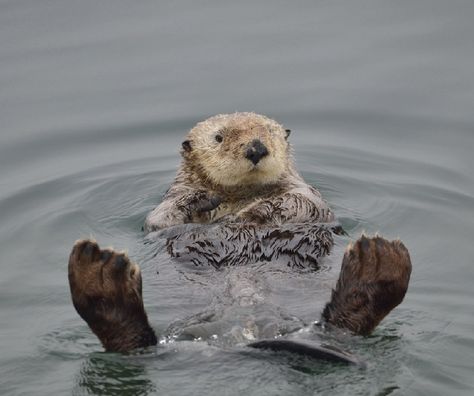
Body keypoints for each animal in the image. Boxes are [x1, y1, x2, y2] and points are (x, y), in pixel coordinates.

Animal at [67, 113, 412, 360]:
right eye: (219, 137)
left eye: (269, 132)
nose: (256, 148)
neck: (240, 195)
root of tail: (244, 329)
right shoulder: (168, 202)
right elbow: (160, 218)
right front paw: (204, 202)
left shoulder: (305, 193)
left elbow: (298, 204)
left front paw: (249, 215)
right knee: (134, 343)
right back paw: (99, 273)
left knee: (343, 328)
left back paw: (378, 261)